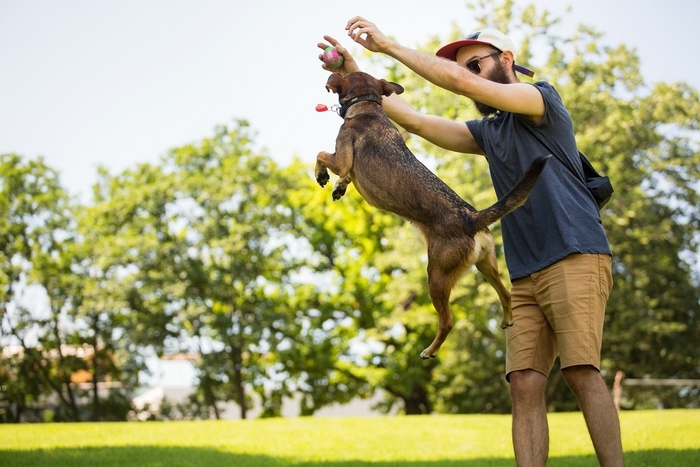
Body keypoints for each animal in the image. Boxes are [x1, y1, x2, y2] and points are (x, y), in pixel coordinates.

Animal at [314, 71, 548, 360]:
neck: (368, 105)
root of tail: (472, 218)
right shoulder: (346, 165)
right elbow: (339, 174)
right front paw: (339, 186)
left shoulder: (343, 158)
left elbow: (322, 155)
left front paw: (322, 175)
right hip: (486, 265)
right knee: (506, 294)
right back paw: (507, 319)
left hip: (436, 276)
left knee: (447, 322)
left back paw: (430, 350)